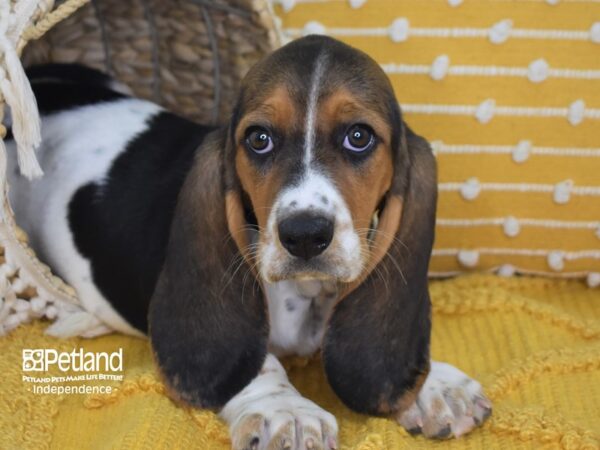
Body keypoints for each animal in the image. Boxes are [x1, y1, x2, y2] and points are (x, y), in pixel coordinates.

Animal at [7, 37, 490, 448]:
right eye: (259, 139)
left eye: (359, 136)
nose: (304, 235)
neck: (306, 292)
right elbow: (258, 358)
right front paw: (286, 410)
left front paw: (434, 384)